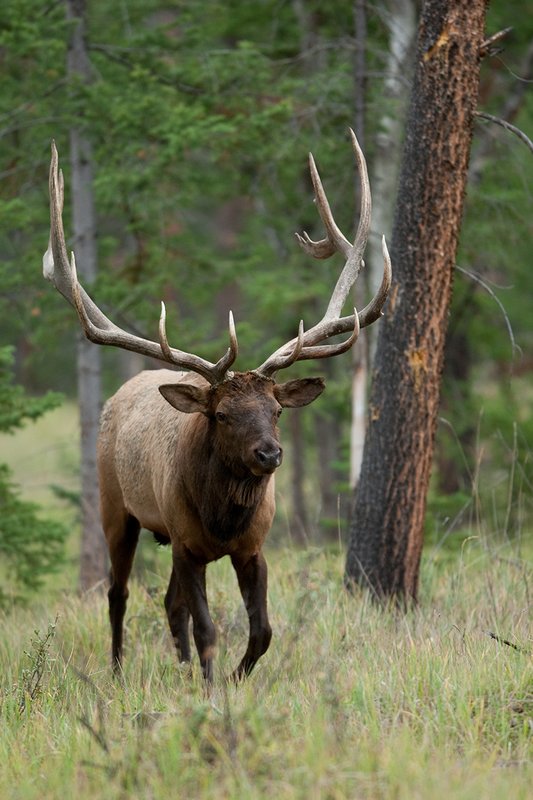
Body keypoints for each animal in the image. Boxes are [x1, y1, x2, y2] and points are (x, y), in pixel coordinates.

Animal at [43, 130, 391, 683]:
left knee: (168, 604)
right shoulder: (187, 543)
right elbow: (207, 628)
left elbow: (261, 630)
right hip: (116, 507)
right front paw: (214, 686)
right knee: (118, 594)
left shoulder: (252, 548)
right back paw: (118, 672)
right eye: (221, 415)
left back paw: (181, 670)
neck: (222, 521)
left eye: (276, 410)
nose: (269, 454)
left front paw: (229, 677)